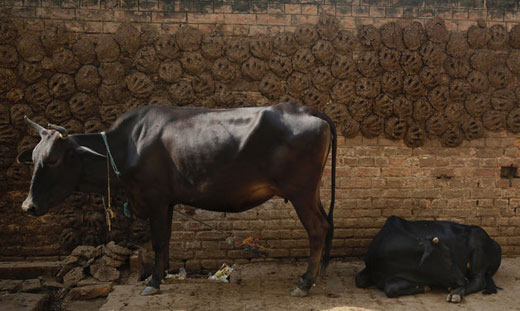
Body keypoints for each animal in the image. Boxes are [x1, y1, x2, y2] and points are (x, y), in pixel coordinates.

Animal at [17, 102, 338, 298]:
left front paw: (153, 281)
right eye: (33, 157)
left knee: (317, 229)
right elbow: (167, 239)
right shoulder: (167, 202)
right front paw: (165, 274)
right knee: (326, 224)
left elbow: (159, 240)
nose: (27, 206)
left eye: (53, 159)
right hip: (311, 192)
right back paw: (316, 275)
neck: (125, 146)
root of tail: (308, 110)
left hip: (300, 192)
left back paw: (305, 283)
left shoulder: (156, 199)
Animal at [356, 217, 502, 302]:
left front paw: (425, 286)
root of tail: (493, 242)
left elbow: (390, 288)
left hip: (477, 250)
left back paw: (456, 293)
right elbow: (359, 280)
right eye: (446, 258)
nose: (463, 279)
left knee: (479, 281)